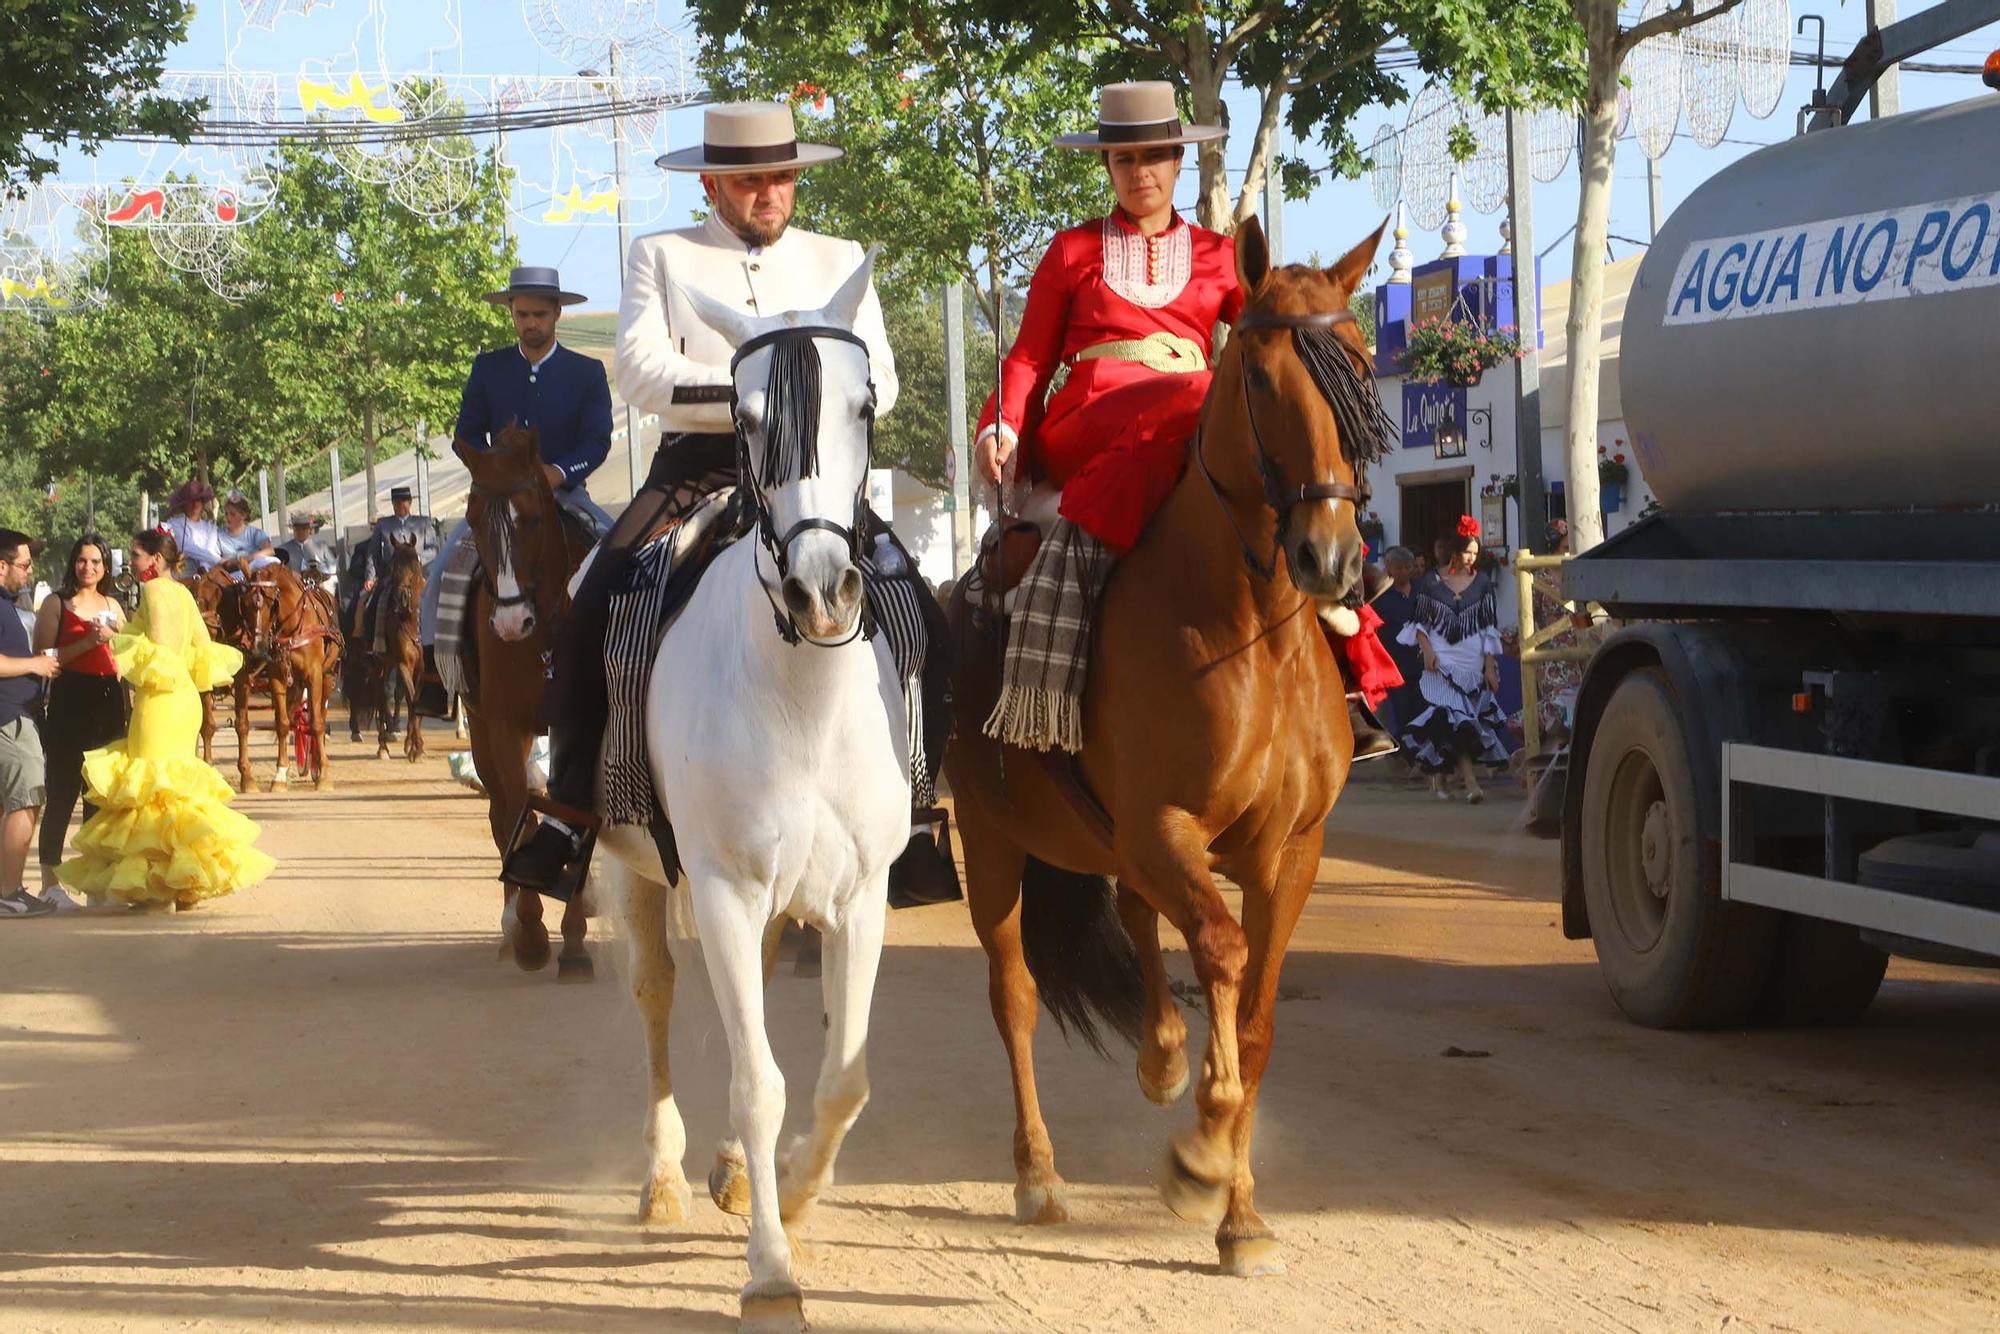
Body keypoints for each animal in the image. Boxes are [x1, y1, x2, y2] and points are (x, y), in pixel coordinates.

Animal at [588, 253, 912, 1334]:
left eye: (864, 403)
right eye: (745, 412)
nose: (822, 590)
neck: (798, 699)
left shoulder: (860, 895)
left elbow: (845, 1075)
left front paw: (799, 1196)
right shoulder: (723, 890)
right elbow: (756, 1081)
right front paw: (770, 1271)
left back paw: (736, 1174)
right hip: (632, 872)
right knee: (653, 997)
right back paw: (663, 1177)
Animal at [940, 219, 1392, 1280]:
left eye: (1361, 367)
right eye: (1261, 379)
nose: (1331, 558)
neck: (1251, 629)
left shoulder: (1289, 850)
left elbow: (1257, 1016)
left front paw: (1243, 1210)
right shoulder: (1160, 824)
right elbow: (1221, 951)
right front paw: (1204, 1153)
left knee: (1138, 920)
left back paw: (1161, 1057)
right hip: (994, 842)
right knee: (1016, 994)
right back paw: (1040, 1173)